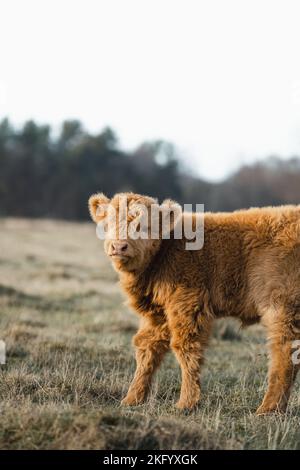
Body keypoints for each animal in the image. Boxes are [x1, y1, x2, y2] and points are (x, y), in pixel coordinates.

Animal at [88, 193, 300, 414]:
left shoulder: (187, 304)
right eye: (108, 224)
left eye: (145, 225)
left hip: (282, 306)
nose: (118, 246)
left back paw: (268, 409)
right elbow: (147, 348)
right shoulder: (157, 314)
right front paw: (132, 399)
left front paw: (187, 402)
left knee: (284, 352)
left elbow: (186, 348)